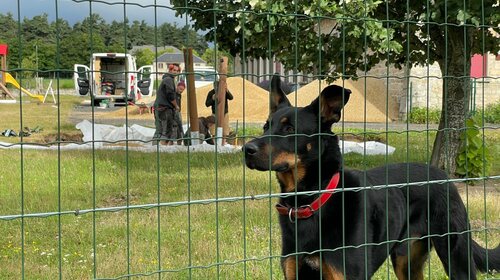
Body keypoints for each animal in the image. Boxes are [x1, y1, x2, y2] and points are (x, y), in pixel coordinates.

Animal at [242, 75, 496, 278]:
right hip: (406, 261)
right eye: (266, 126)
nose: (246, 149)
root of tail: (441, 175)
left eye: (289, 129)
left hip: (455, 256)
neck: (311, 201)